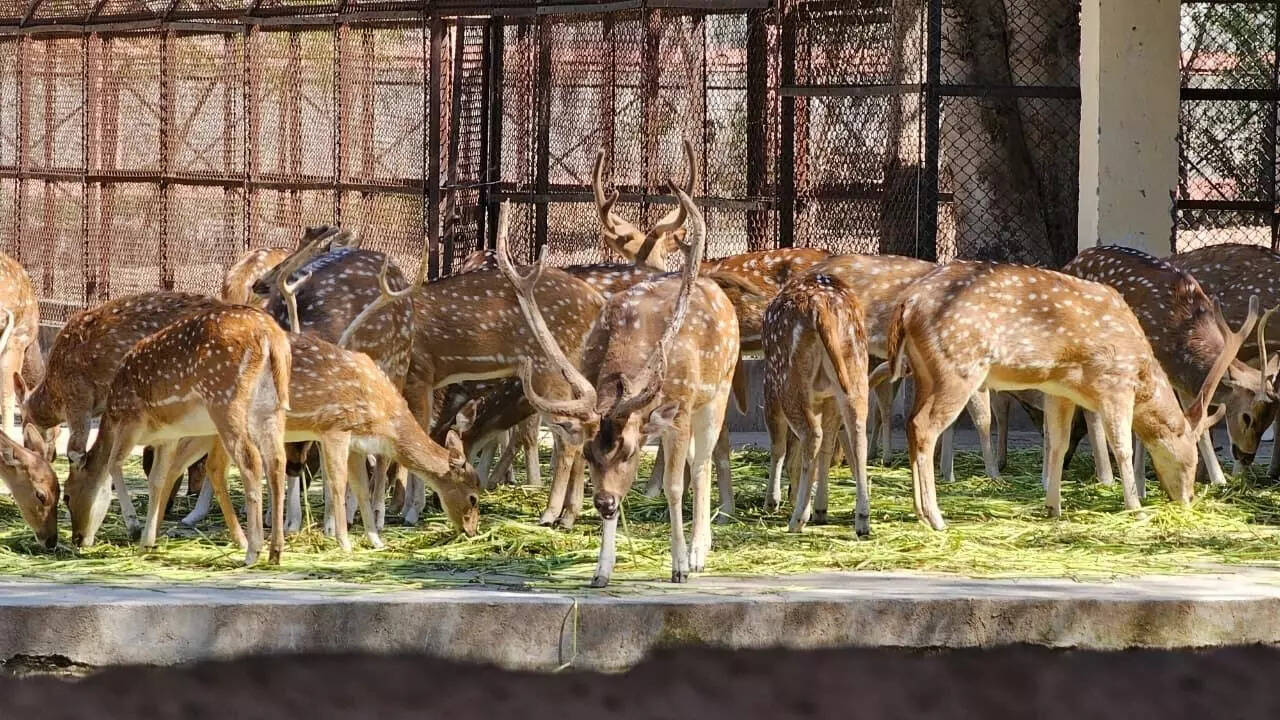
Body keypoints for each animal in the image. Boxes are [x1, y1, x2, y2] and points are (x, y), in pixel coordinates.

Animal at [62, 304, 291, 565]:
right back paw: (276, 551)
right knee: (277, 461)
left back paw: (252, 551)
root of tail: (270, 335)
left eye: (66, 495)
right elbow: (157, 479)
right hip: (270, 408)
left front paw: (134, 527)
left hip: (224, 400)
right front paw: (146, 543)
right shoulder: (169, 436)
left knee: (251, 461)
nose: (77, 539)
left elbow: (114, 464)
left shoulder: (131, 420)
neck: (112, 413)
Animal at [498, 176, 740, 586]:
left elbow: (675, 486)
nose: (604, 502)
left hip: (718, 389)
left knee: (702, 464)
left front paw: (678, 566)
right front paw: (601, 570)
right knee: (698, 460)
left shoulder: (679, 410)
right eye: (590, 453)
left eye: (628, 452)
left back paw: (698, 553)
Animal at [762, 268, 870, 535]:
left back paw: (798, 518)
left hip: (786, 377)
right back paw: (862, 520)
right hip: (855, 370)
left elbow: (778, 445)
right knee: (856, 433)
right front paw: (821, 508)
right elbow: (829, 444)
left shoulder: (769, 386)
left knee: (811, 435)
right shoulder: (827, 397)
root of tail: (821, 306)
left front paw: (773, 501)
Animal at [883, 261, 1256, 530]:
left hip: (925, 371)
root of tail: (907, 304)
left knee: (912, 424)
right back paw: (935, 517)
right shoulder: (1115, 383)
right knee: (925, 427)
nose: (1187, 499)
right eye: (1189, 459)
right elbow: (1120, 446)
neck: (1141, 371)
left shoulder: (1059, 389)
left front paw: (1053, 507)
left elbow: (1058, 444)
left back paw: (919, 512)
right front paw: (1135, 508)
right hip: (957, 366)